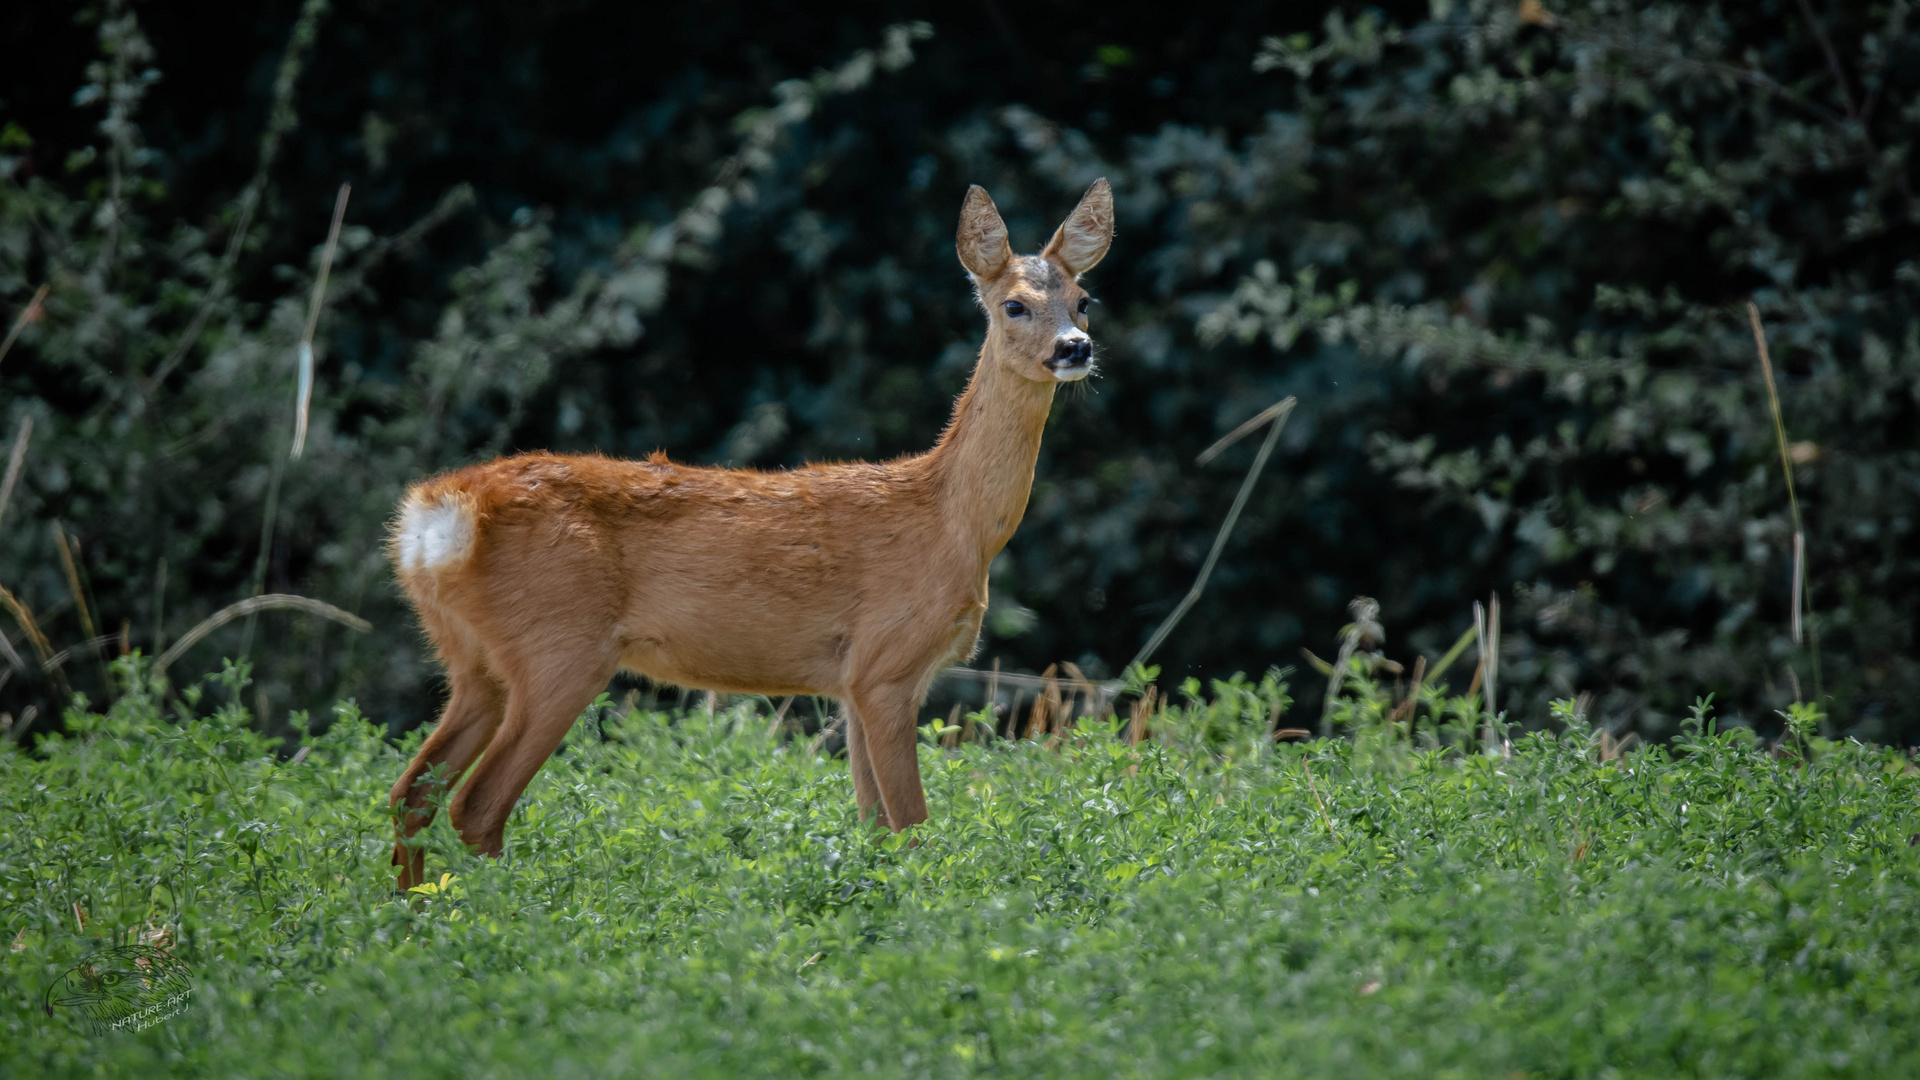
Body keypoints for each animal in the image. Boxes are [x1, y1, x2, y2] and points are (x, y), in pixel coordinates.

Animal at [385, 176, 1113, 887]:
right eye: (1013, 306)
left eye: (1084, 300)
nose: (1074, 349)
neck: (950, 523)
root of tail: (437, 515)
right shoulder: (888, 662)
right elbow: (911, 827)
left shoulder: (852, 681)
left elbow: (874, 827)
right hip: (559, 645)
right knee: (475, 806)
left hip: (473, 659)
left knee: (411, 792)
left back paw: (412, 911)